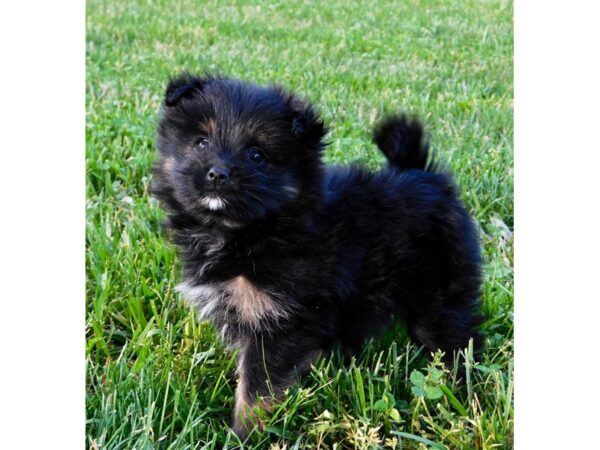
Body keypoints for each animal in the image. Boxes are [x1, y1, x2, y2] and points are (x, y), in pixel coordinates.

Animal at [152, 74, 486, 440]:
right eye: (201, 143)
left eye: (257, 155)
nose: (217, 173)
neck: (255, 231)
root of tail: (425, 176)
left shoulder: (280, 320)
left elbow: (256, 386)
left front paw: (244, 434)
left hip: (439, 292)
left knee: (454, 338)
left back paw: (462, 392)